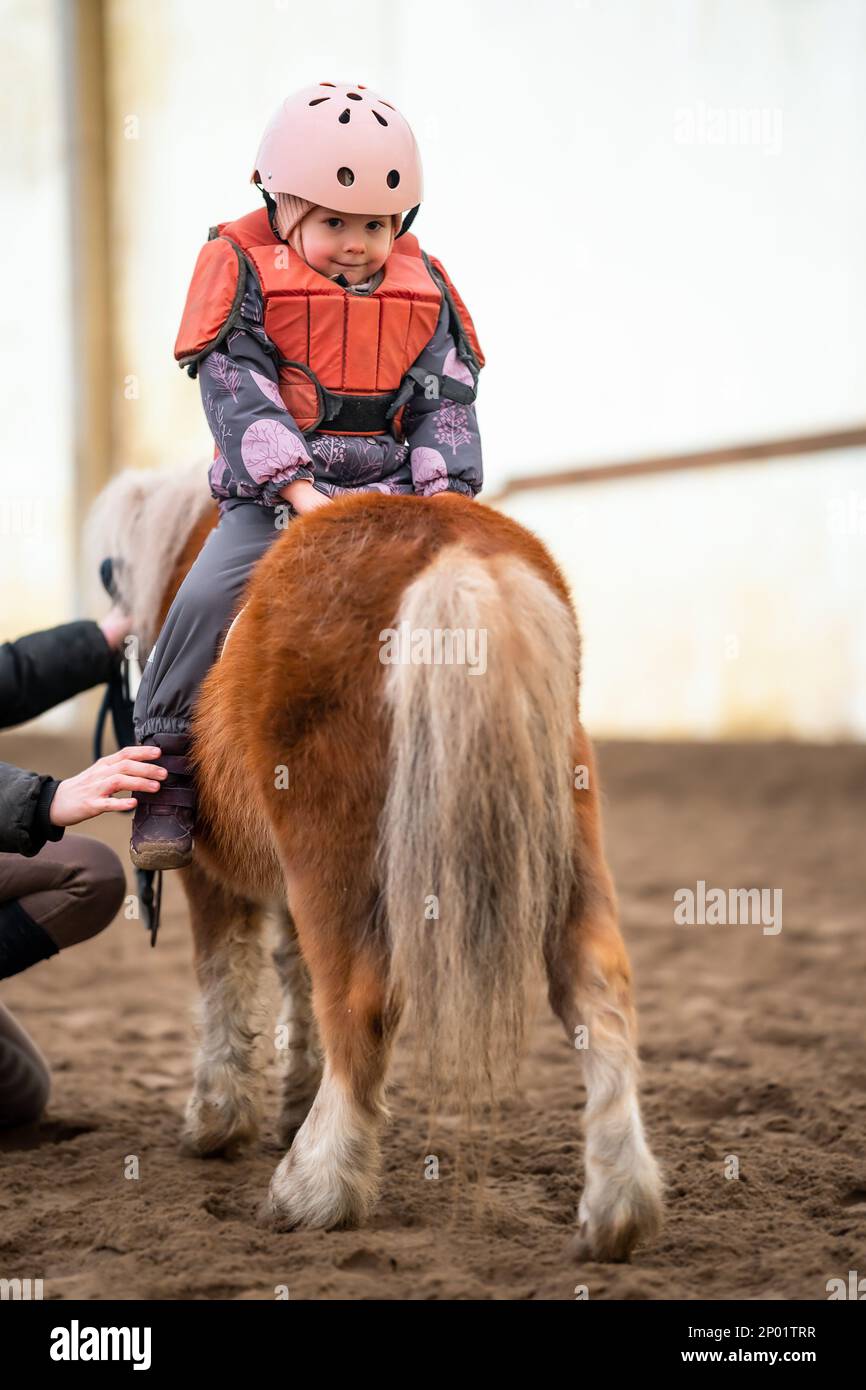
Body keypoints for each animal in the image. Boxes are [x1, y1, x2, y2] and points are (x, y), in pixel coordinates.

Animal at [88, 458, 664, 1262]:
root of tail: (457, 553)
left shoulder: (212, 873)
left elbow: (225, 975)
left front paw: (218, 1119)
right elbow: (293, 974)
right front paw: (291, 1099)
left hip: (330, 849)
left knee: (361, 1002)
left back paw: (315, 1190)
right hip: (563, 835)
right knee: (597, 985)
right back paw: (616, 1208)